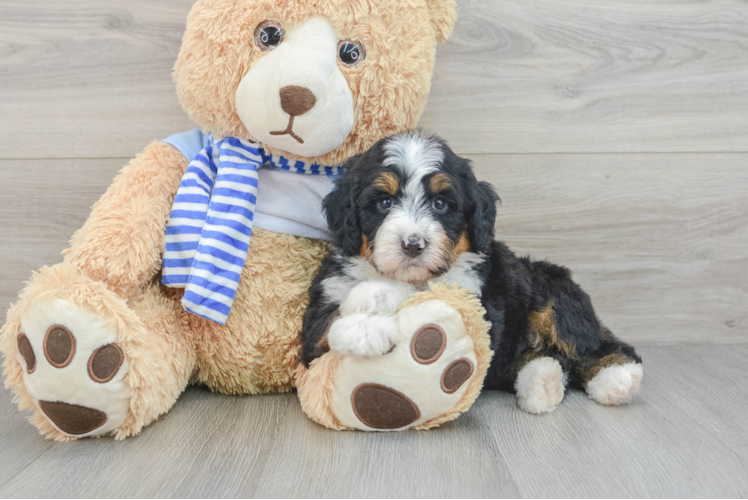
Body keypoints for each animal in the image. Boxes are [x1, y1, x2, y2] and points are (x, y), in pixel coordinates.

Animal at [302, 131, 644, 412]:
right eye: (384, 202)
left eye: (440, 204)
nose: (413, 244)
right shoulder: (316, 323)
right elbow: (329, 322)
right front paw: (363, 324)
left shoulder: (474, 307)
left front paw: (368, 318)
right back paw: (542, 384)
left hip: (554, 293)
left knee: (593, 343)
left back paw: (616, 378)